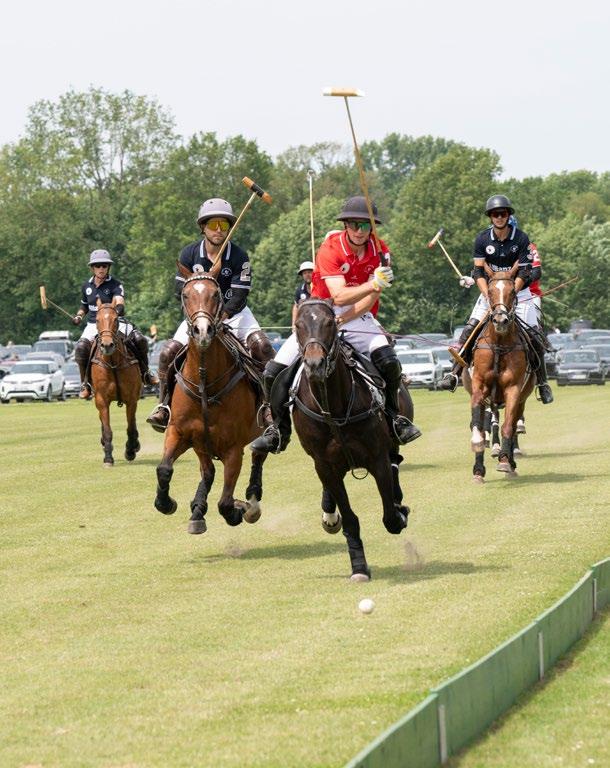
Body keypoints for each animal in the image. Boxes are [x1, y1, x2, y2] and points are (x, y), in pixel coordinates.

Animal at [90, 298, 142, 466]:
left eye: (115, 320)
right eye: (97, 320)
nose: (107, 345)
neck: (113, 363)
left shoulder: (131, 399)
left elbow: (130, 427)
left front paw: (130, 450)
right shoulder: (101, 399)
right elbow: (107, 429)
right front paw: (108, 457)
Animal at [154, 266, 267, 533]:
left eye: (216, 294)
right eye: (185, 295)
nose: (202, 331)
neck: (205, 383)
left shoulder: (233, 449)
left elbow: (225, 501)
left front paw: (239, 509)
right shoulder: (179, 432)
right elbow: (164, 468)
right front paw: (166, 503)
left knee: (259, 453)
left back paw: (251, 498)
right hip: (201, 445)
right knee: (209, 472)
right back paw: (197, 511)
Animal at [291, 298, 412, 581]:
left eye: (329, 323)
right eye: (298, 325)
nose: (315, 365)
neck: (333, 408)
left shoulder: (377, 457)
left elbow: (389, 516)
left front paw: (399, 513)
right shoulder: (324, 465)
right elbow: (349, 518)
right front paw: (358, 567)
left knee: (395, 463)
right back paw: (329, 514)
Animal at [468, 264, 535, 482]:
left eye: (513, 291)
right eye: (489, 291)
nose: (500, 320)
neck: (498, 344)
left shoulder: (513, 389)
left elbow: (508, 426)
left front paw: (505, 461)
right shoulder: (479, 386)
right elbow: (478, 423)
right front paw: (478, 465)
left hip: (522, 396)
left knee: (512, 424)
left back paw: (510, 460)